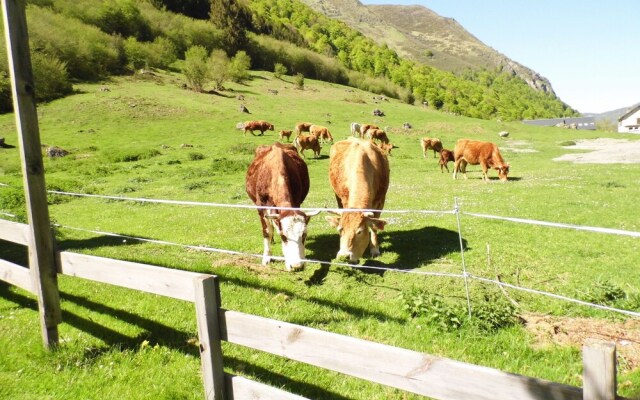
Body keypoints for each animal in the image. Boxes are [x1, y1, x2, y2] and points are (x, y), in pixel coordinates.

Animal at [244, 142, 318, 270]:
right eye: (283, 237)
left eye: (304, 235)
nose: (297, 266)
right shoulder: (261, 207)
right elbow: (267, 232)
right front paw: (266, 257)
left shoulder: (297, 202)